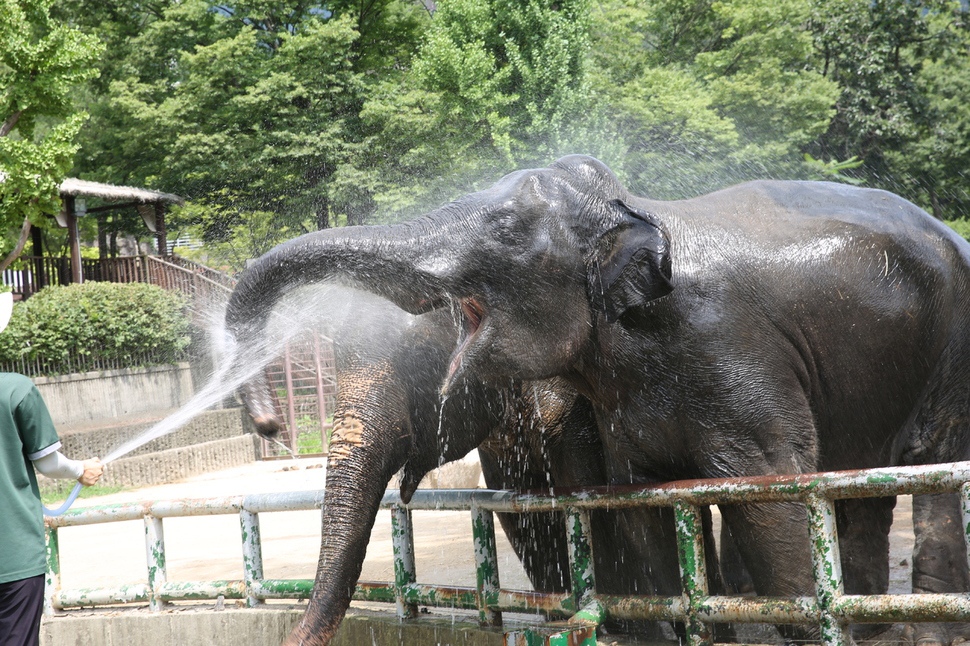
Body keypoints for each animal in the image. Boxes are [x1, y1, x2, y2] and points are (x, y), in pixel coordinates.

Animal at [234, 290, 704, 646]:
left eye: (419, 358)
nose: (269, 424)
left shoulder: (570, 400)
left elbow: (587, 494)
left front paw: (629, 630)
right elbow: (521, 507)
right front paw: (558, 621)